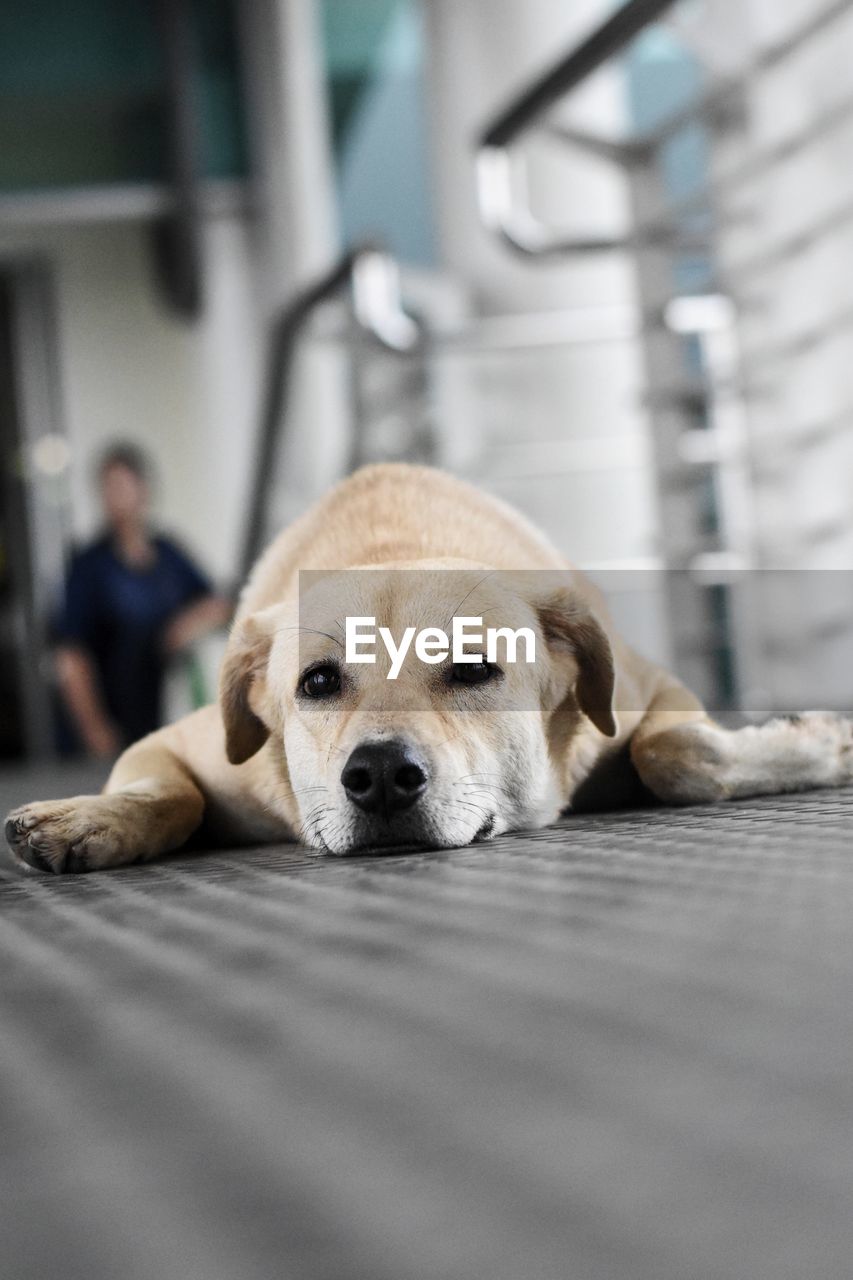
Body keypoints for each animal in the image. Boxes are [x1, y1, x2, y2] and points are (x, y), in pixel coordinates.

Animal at [6, 465, 850, 875]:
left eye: (473, 670)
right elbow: (166, 792)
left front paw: (814, 743)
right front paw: (94, 819)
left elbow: (679, 753)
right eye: (317, 682)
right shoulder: (183, 745)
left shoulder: (644, 690)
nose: (380, 774)